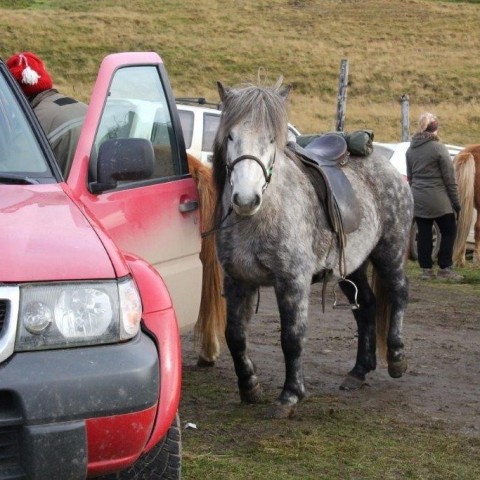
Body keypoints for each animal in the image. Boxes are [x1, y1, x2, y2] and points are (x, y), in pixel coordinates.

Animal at [212, 79, 414, 416]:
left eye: (271, 139)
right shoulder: (237, 280)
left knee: (398, 293)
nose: (246, 199)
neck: (262, 215)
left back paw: (397, 358)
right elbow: (235, 336)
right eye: (230, 135)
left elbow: (292, 338)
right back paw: (359, 371)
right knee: (367, 306)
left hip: (390, 250)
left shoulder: (293, 281)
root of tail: (387, 168)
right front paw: (250, 387)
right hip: (352, 266)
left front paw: (290, 395)